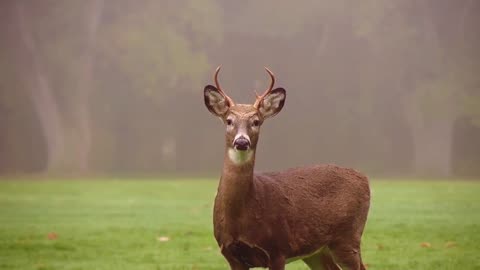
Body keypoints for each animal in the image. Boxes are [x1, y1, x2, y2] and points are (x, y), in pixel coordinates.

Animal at [202, 66, 372, 270]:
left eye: (256, 121)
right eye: (228, 120)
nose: (242, 142)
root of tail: (364, 178)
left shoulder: (278, 248)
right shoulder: (231, 254)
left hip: (348, 236)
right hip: (317, 251)